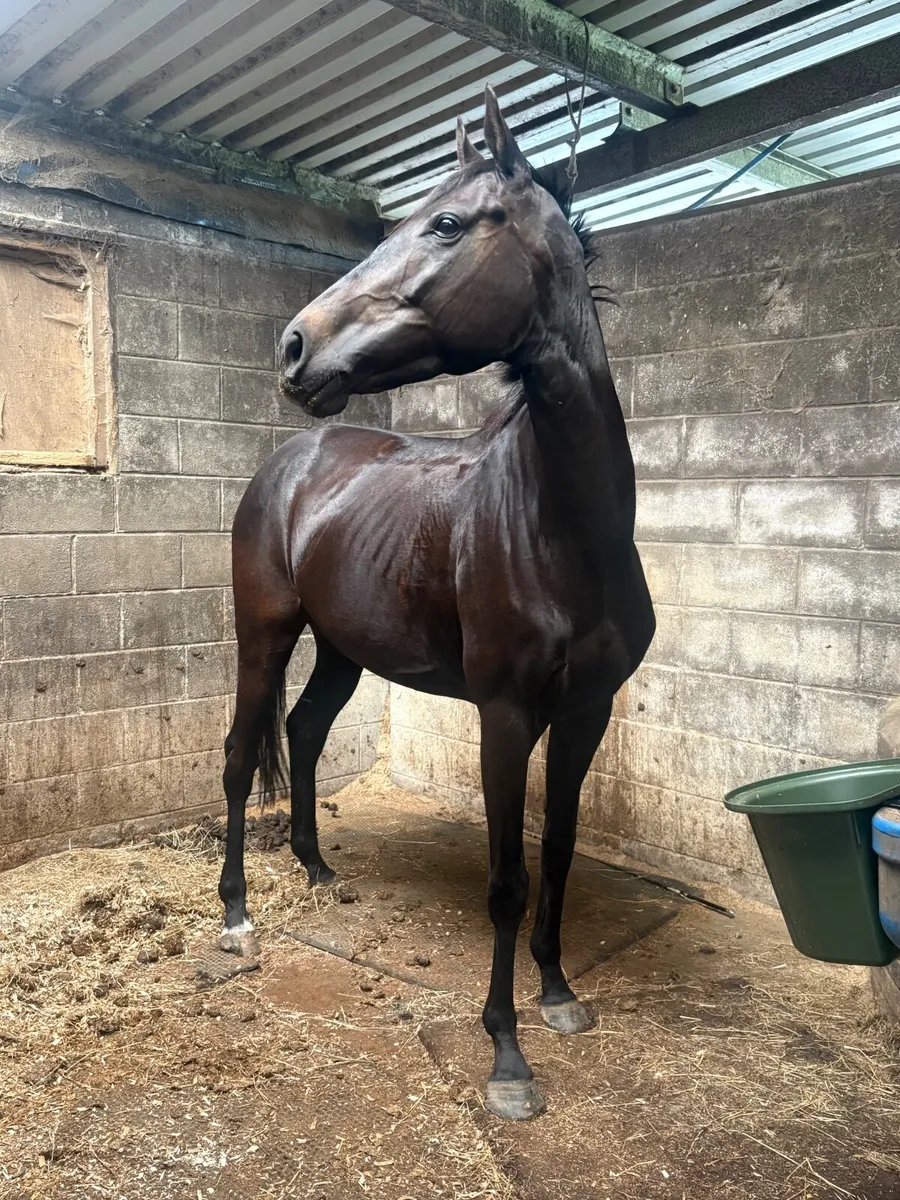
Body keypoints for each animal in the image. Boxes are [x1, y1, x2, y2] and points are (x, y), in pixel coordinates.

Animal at [218, 86, 655, 1120]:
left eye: (448, 223)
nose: (295, 345)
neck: (565, 530)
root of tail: (289, 462)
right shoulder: (506, 715)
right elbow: (506, 877)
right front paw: (507, 1055)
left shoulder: (585, 712)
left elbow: (559, 850)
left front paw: (558, 993)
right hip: (264, 635)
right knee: (240, 752)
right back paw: (238, 914)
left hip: (342, 649)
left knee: (300, 731)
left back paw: (317, 869)